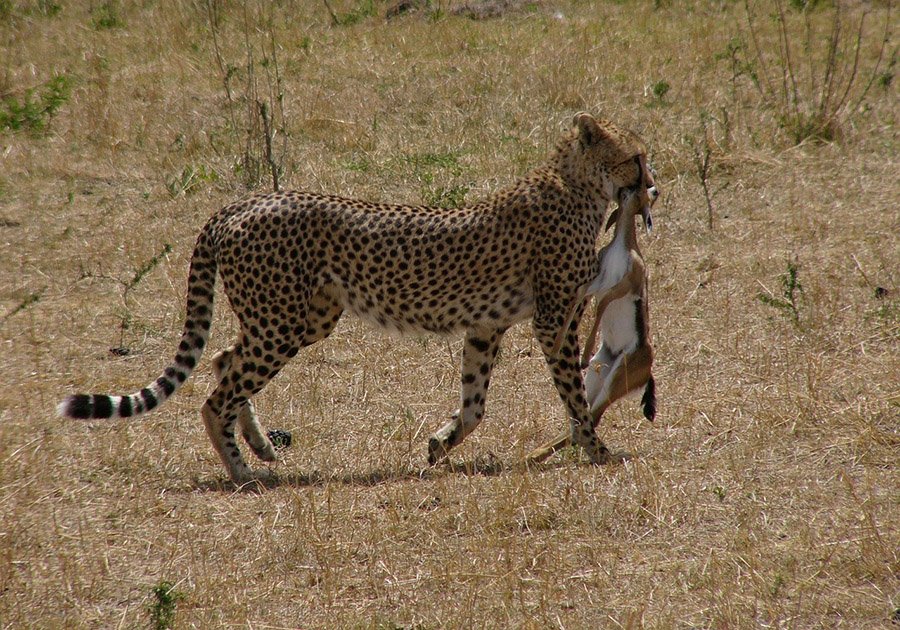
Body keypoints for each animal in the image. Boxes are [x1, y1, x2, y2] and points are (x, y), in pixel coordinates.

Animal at [58, 112, 660, 484]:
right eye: (636, 157)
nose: (653, 187)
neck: (577, 185)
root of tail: (243, 203)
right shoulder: (554, 320)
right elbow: (574, 398)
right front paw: (598, 452)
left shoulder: (486, 326)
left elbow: (474, 404)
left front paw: (439, 444)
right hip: (282, 322)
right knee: (216, 395)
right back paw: (243, 472)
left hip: (302, 318)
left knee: (224, 359)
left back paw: (261, 446)